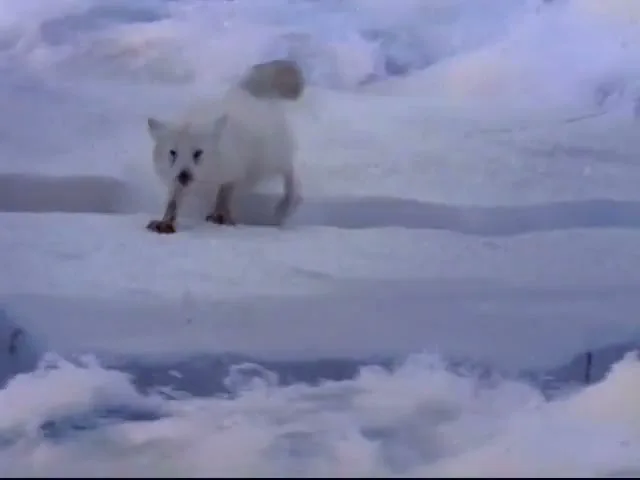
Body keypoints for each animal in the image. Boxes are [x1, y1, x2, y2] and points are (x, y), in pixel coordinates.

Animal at [145, 59, 305, 234]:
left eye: (198, 153)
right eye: (173, 153)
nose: (184, 175)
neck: (206, 177)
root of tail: (244, 91)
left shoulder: (234, 173)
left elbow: (223, 195)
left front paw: (220, 216)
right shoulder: (175, 181)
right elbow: (172, 202)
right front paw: (164, 222)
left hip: (273, 159)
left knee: (290, 173)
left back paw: (287, 202)